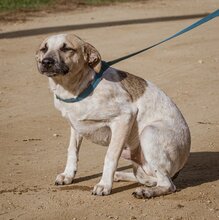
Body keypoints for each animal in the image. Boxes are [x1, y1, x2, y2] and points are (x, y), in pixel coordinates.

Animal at [35, 33, 190, 199]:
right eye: (44, 49)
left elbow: (110, 156)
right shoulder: (75, 125)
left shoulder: (124, 117)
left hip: (148, 133)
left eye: (66, 49)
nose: (46, 62)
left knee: (167, 184)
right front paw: (68, 175)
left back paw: (146, 191)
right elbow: (72, 151)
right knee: (146, 176)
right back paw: (120, 175)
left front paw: (104, 185)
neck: (77, 89)